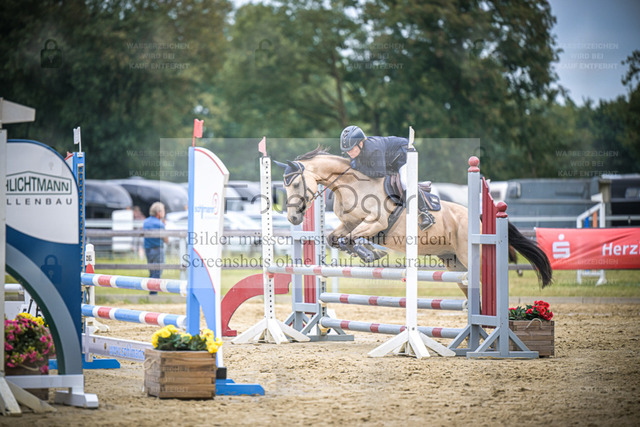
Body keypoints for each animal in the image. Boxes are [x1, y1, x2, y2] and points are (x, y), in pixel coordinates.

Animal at [275, 147, 552, 296]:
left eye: (296, 184)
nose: (293, 217)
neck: (351, 184)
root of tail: (481, 218)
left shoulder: (376, 222)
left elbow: (352, 238)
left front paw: (369, 253)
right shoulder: (348, 224)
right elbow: (336, 238)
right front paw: (366, 252)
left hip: (471, 256)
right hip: (454, 263)